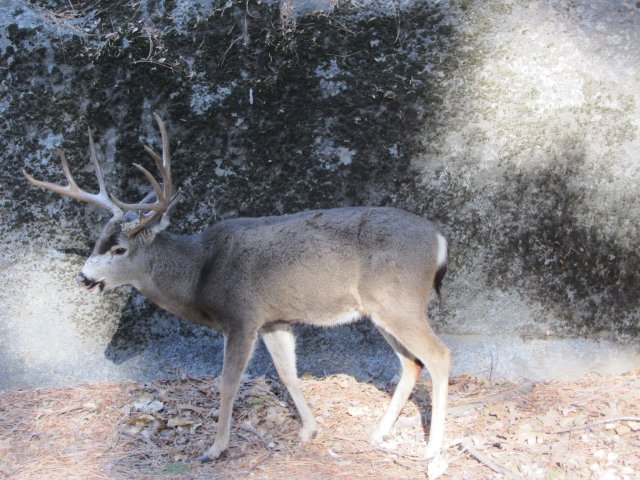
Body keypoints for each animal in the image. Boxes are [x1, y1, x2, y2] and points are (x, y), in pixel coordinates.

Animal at [25, 115, 452, 462]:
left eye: (119, 249)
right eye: (97, 242)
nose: (83, 277)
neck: (199, 273)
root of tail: (439, 240)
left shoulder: (241, 316)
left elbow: (228, 383)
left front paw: (215, 448)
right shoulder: (274, 319)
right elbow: (287, 373)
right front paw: (309, 431)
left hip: (399, 301)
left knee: (438, 355)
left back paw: (431, 450)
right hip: (381, 310)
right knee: (411, 363)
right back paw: (379, 433)